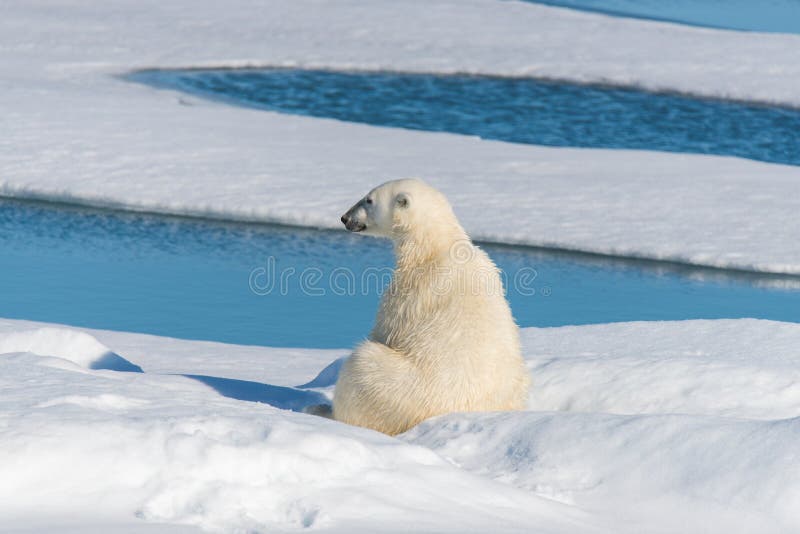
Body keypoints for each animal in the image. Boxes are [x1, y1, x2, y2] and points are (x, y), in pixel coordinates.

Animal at [333, 178, 530, 435]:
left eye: (369, 200)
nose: (345, 218)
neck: (438, 245)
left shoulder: (411, 289)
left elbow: (386, 329)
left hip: (399, 392)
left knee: (361, 363)